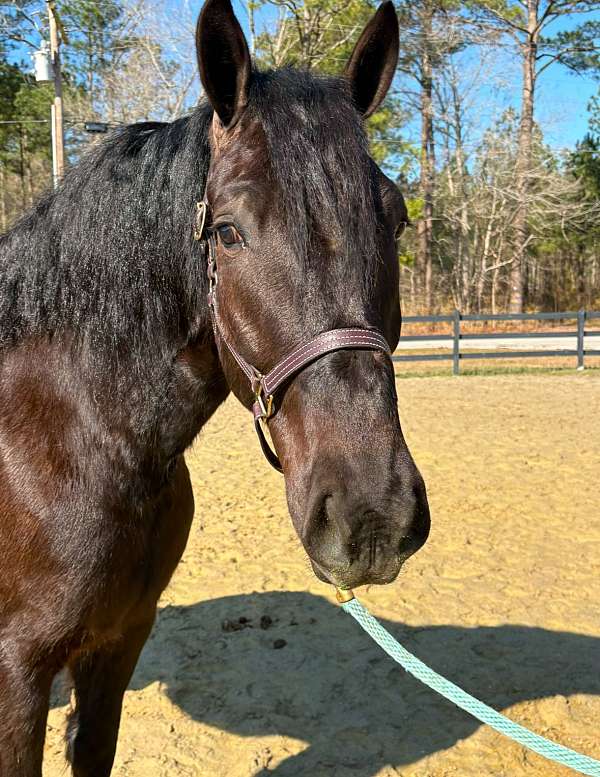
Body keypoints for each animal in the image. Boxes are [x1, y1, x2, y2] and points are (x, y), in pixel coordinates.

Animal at [0, 0, 432, 768]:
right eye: (227, 232)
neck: (68, 438)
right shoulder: (15, 673)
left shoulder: (117, 646)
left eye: (398, 218)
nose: (371, 516)